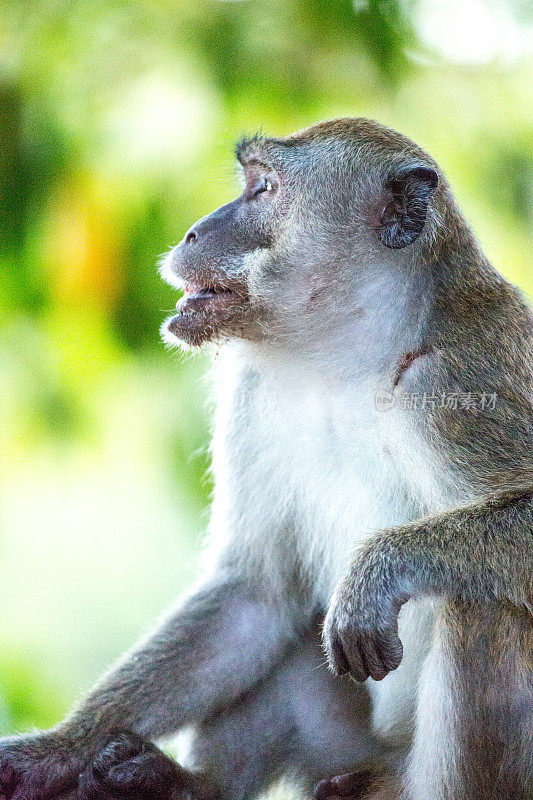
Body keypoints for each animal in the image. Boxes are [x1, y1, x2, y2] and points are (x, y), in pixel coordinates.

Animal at [0, 117, 528, 800]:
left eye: (265, 190)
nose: (193, 231)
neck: (350, 357)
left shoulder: (461, 382)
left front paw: (379, 568)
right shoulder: (252, 391)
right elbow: (255, 591)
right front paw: (59, 749)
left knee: (480, 603)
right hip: (347, 752)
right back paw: (190, 786)